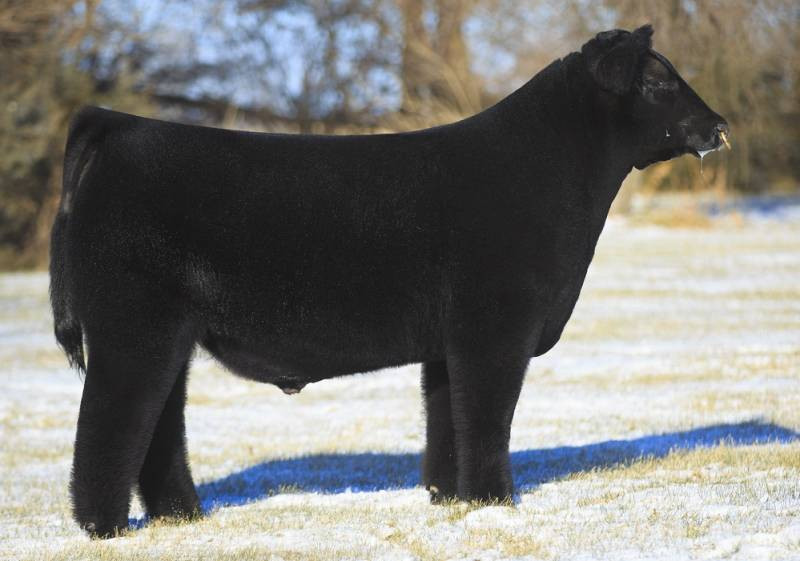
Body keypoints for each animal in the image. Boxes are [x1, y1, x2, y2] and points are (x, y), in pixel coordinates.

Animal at [50, 24, 728, 537]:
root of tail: (117, 126)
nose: (719, 124)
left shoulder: (449, 343)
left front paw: (452, 499)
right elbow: (488, 418)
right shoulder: (495, 328)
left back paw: (183, 517)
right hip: (132, 328)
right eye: (658, 81)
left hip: (167, 336)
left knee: (158, 427)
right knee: (109, 426)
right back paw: (104, 529)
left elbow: (447, 419)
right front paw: (496, 504)